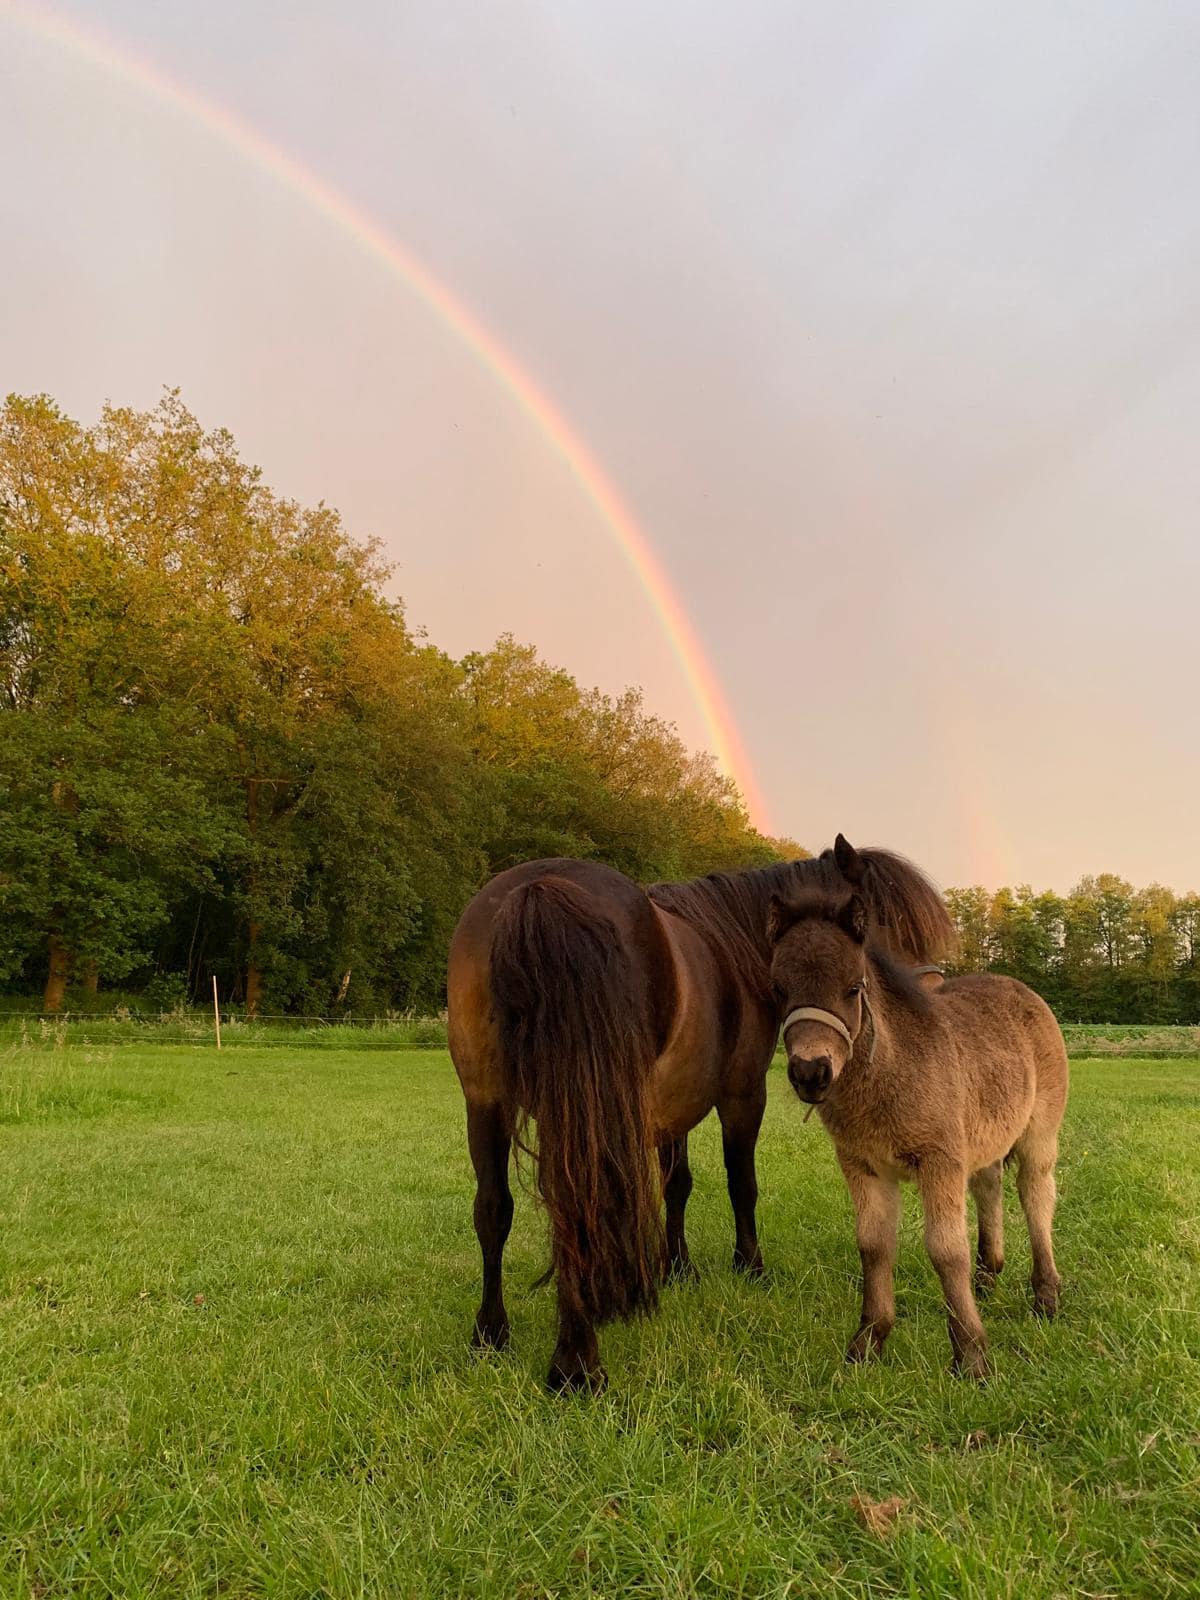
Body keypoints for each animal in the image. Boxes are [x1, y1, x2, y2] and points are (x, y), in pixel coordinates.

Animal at [447, 839, 954, 1392]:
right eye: (893, 928)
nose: (931, 1005)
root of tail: (541, 888)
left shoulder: (668, 1106)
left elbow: (677, 1183)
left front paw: (678, 1268)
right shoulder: (743, 1095)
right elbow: (741, 1183)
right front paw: (749, 1266)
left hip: (487, 1101)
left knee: (495, 1209)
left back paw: (491, 1333)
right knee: (578, 1206)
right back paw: (577, 1363)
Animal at [768, 834, 1069, 1380]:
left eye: (854, 987)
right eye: (779, 989)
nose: (810, 1073)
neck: (889, 1072)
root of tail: (1020, 987)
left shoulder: (939, 1161)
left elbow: (945, 1250)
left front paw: (971, 1357)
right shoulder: (861, 1164)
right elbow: (873, 1245)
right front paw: (868, 1342)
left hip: (1039, 1132)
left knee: (1036, 1193)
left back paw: (1046, 1297)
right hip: (985, 1132)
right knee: (989, 1183)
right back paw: (989, 1277)